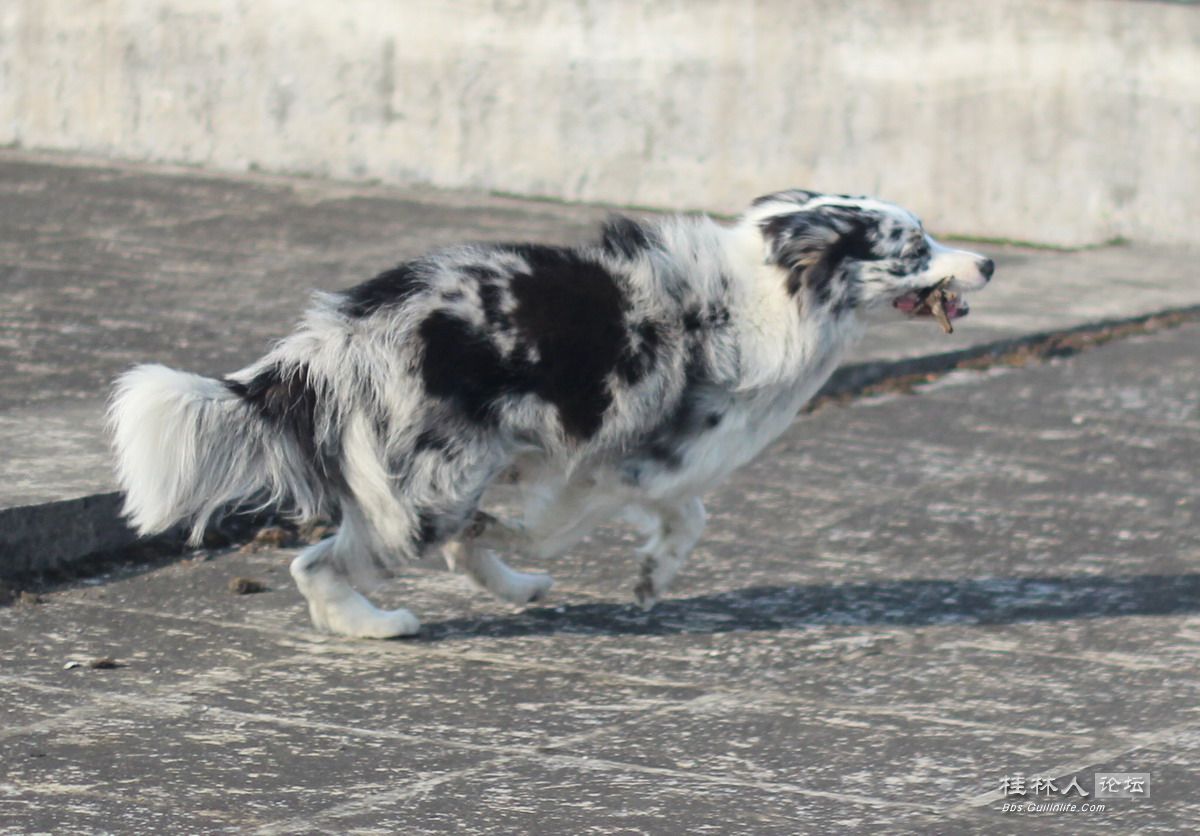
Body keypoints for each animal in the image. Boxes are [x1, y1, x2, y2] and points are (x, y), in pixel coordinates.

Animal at [112, 187, 993, 633]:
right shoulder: (611, 463)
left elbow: (688, 518)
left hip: (452, 467)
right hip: (434, 486)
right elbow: (556, 526)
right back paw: (374, 623)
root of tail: (331, 338)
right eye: (914, 247)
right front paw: (514, 548)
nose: (987, 262)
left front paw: (650, 577)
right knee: (320, 563)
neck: (775, 296)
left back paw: (508, 587)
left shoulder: (645, 463)